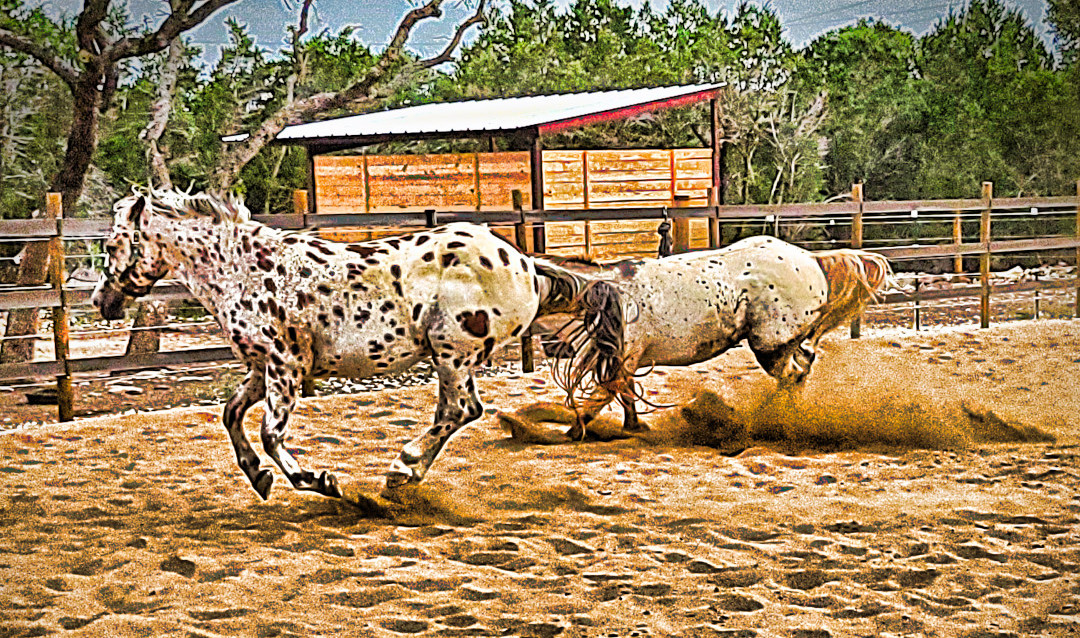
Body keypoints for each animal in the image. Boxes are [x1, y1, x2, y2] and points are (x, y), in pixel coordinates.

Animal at [540, 234, 894, 440]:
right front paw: (634, 426)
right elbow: (624, 393)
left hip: (770, 345)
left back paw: (775, 420)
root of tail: (811, 259)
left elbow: (603, 395)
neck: (605, 291)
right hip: (785, 342)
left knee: (793, 374)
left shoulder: (623, 356)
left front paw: (574, 430)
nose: (550, 347)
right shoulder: (625, 359)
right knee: (804, 365)